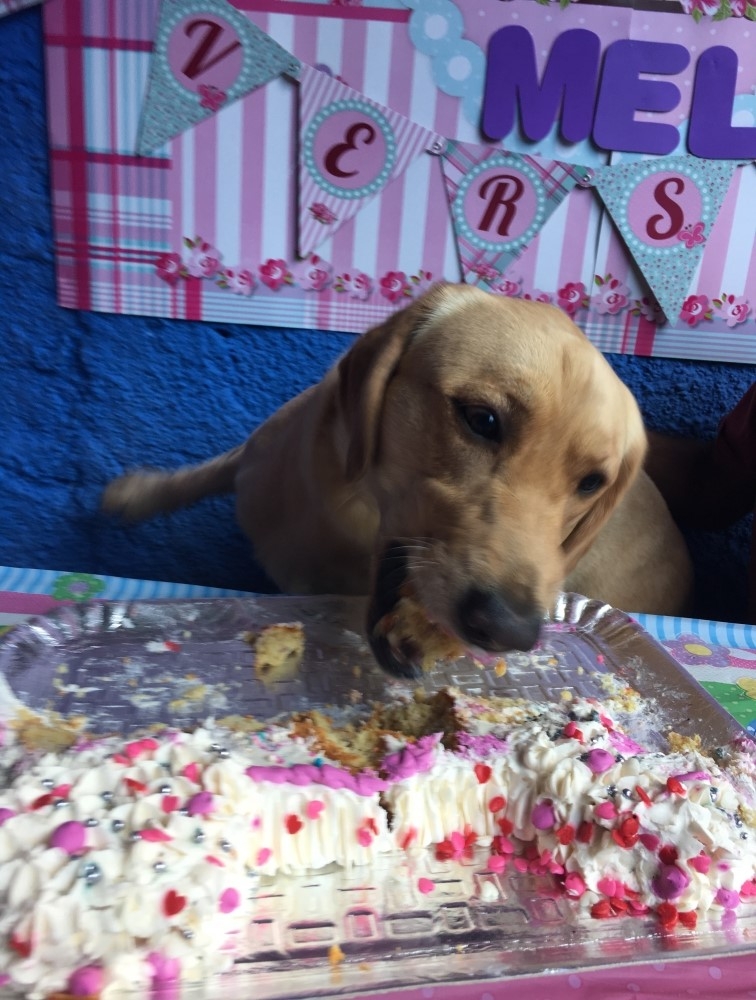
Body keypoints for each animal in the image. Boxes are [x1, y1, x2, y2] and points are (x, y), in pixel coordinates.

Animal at [103, 286, 692, 684]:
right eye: (482, 419)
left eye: (592, 481)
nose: (511, 631)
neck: (340, 519)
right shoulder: (254, 458)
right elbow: (202, 473)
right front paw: (136, 493)